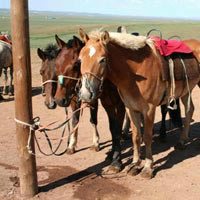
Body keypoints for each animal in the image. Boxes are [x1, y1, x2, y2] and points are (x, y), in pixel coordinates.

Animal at [53, 34, 125, 172]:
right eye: (56, 63)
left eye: (75, 64)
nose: (59, 99)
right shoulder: (102, 102)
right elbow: (110, 128)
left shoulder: (119, 105)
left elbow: (116, 129)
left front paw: (116, 161)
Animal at [77, 28, 200, 179]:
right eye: (80, 59)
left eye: (102, 60)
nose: (85, 94)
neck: (135, 73)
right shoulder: (131, 108)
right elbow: (136, 137)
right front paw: (135, 164)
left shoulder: (149, 109)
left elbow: (147, 137)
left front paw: (148, 168)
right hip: (186, 92)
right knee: (190, 110)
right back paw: (183, 140)